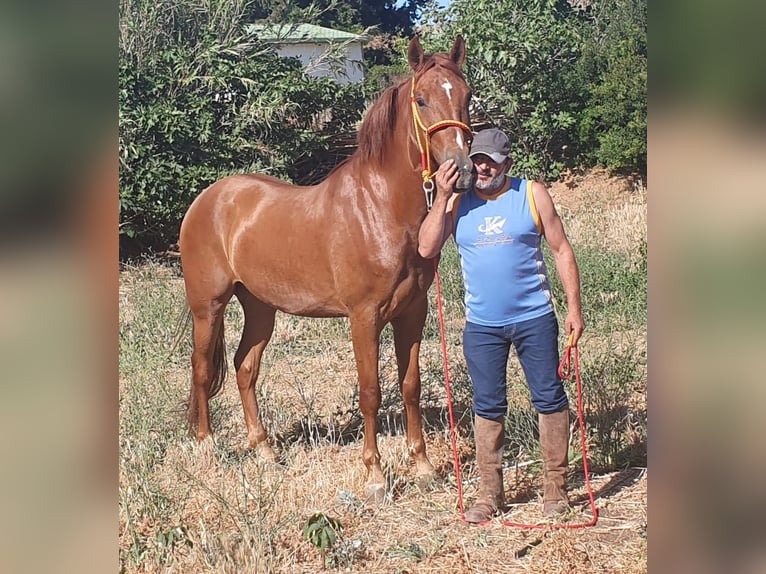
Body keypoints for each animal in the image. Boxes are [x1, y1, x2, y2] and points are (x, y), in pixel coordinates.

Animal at [181, 36, 476, 504]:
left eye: (466, 96)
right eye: (422, 99)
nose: (462, 171)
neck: (379, 207)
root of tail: (208, 199)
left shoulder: (413, 312)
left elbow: (410, 386)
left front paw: (424, 467)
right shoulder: (363, 316)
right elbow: (371, 391)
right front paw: (375, 476)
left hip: (261, 308)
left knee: (245, 368)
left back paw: (264, 450)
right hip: (207, 306)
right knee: (202, 369)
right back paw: (208, 446)